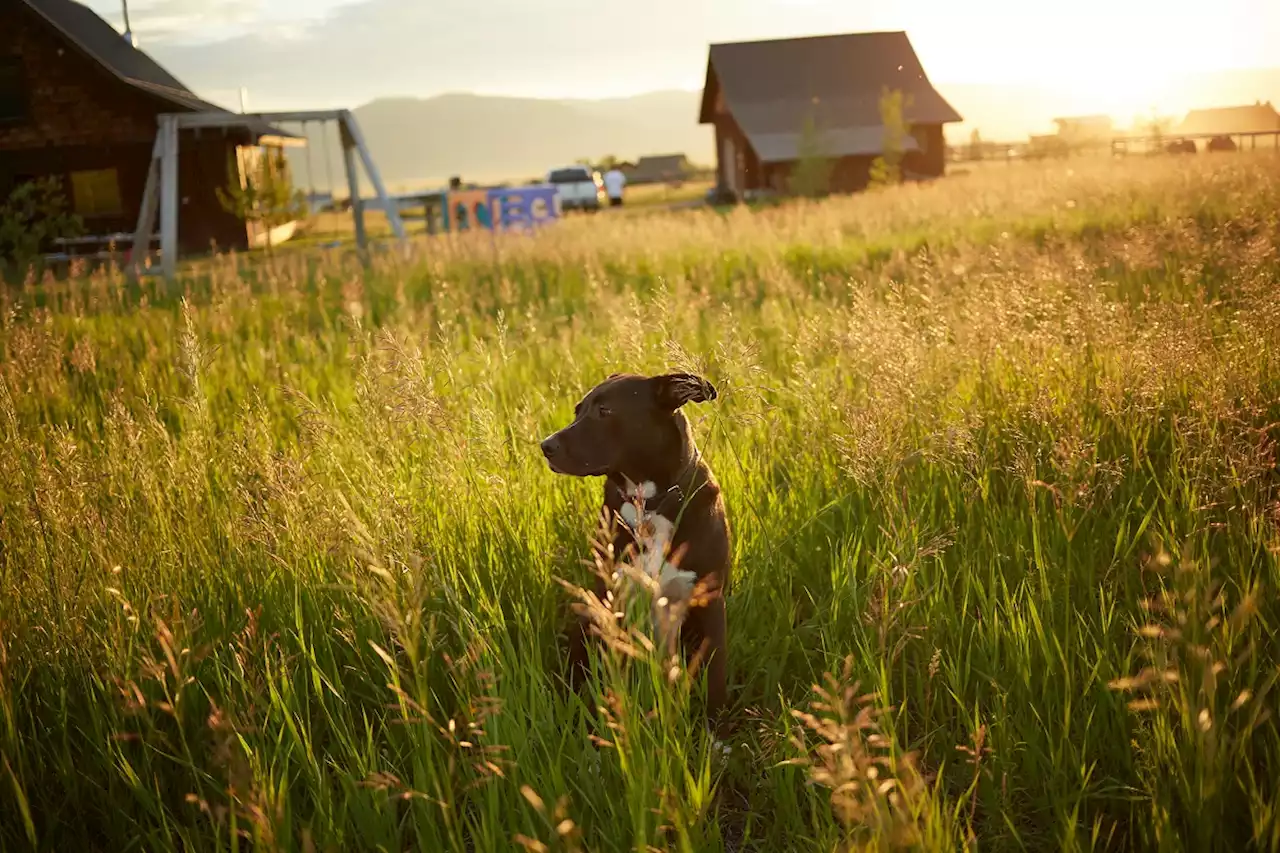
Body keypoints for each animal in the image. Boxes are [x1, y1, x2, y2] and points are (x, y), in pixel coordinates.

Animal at [540, 371, 732, 722]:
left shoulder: (709, 600)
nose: (545, 446)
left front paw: (718, 732)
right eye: (577, 411)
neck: (648, 503)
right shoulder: (612, 595)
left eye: (604, 411)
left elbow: (715, 680)